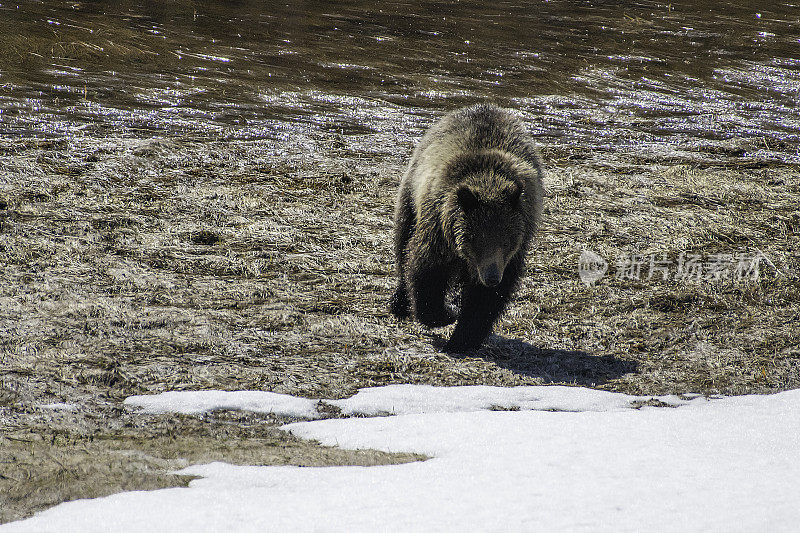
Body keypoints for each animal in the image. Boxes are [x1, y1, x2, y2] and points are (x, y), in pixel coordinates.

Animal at [390, 104, 544, 354]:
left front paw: (462, 339)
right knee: (403, 241)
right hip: (411, 192)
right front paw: (445, 314)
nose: (491, 277)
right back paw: (400, 302)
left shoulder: (511, 253)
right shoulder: (438, 228)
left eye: (507, 240)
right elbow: (426, 270)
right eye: (477, 238)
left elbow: (485, 301)